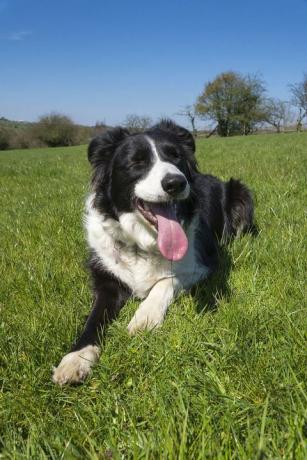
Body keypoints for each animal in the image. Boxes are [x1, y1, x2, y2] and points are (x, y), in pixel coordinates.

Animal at [53, 119, 255, 384]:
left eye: (176, 156)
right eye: (136, 162)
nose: (176, 182)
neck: (143, 243)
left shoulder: (204, 262)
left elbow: (166, 281)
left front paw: (144, 318)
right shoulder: (106, 279)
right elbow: (93, 319)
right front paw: (76, 358)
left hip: (240, 192)